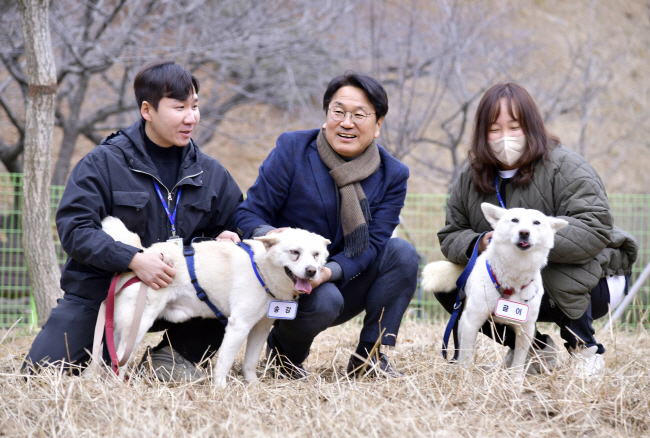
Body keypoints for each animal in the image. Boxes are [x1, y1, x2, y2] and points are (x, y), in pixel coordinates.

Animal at [97, 217, 330, 384]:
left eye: (316, 255)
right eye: (294, 252)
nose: (312, 271)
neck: (261, 268)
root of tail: (143, 255)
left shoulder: (260, 327)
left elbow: (250, 363)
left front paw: (253, 386)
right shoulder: (239, 326)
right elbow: (224, 364)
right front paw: (221, 389)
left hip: (121, 327)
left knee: (111, 358)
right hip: (138, 326)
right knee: (120, 360)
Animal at [422, 204, 564, 378]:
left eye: (536, 222)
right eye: (514, 220)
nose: (524, 233)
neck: (514, 273)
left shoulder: (526, 327)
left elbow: (519, 361)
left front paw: (516, 381)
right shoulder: (472, 321)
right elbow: (467, 356)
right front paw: (466, 378)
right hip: (463, 317)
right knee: (461, 349)